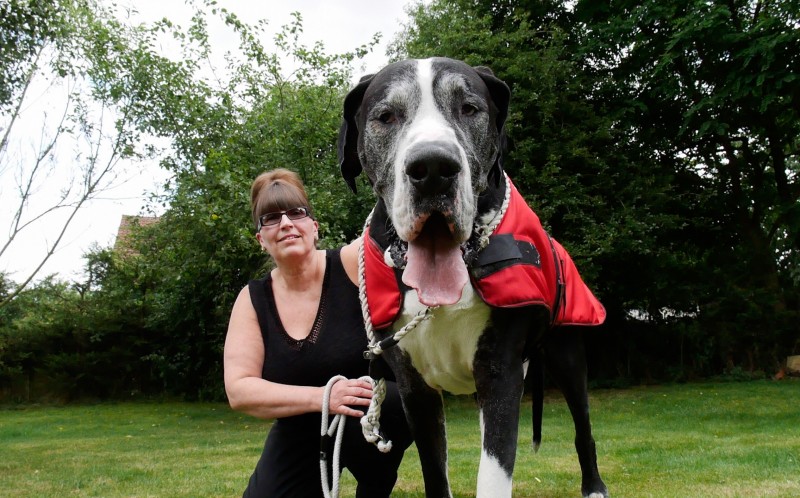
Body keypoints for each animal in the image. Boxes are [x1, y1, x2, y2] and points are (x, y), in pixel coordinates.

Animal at [336, 56, 608, 496]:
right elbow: (436, 475)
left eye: (469, 108)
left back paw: (595, 487)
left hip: (567, 353)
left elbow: (494, 475)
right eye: (386, 116)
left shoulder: (501, 372)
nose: (433, 168)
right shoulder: (415, 390)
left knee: (583, 427)